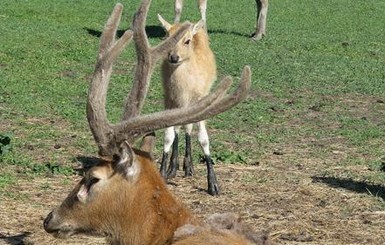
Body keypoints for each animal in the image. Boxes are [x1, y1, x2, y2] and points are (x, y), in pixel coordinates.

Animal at [154, 14, 218, 195]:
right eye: (166, 37)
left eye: (187, 41)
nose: (174, 57)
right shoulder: (169, 100)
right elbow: (168, 135)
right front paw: (163, 172)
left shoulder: (199, 100)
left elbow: (203, 138)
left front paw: (213, 184)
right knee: (179, 128)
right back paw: (174, 167)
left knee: (188, 127)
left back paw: (188, 167)